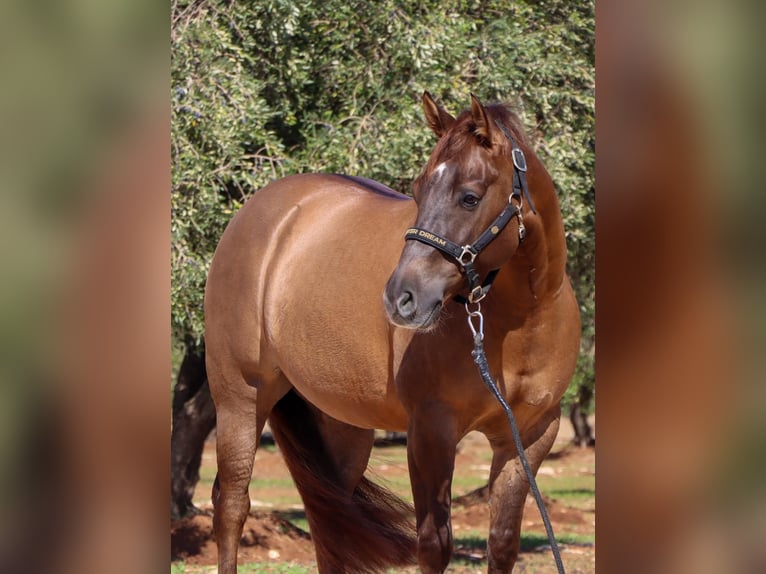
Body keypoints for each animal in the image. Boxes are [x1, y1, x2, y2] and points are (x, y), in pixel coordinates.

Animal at [204, 92, 581, 573]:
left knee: (331, 519)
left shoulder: (529, 437)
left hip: (342, 424)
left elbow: (502, 543)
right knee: (232, 504)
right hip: (241, 398)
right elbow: (434, 544)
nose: (402, 297)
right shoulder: (430, 430)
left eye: (469, 197)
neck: (523, 321)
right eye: (417, 192)